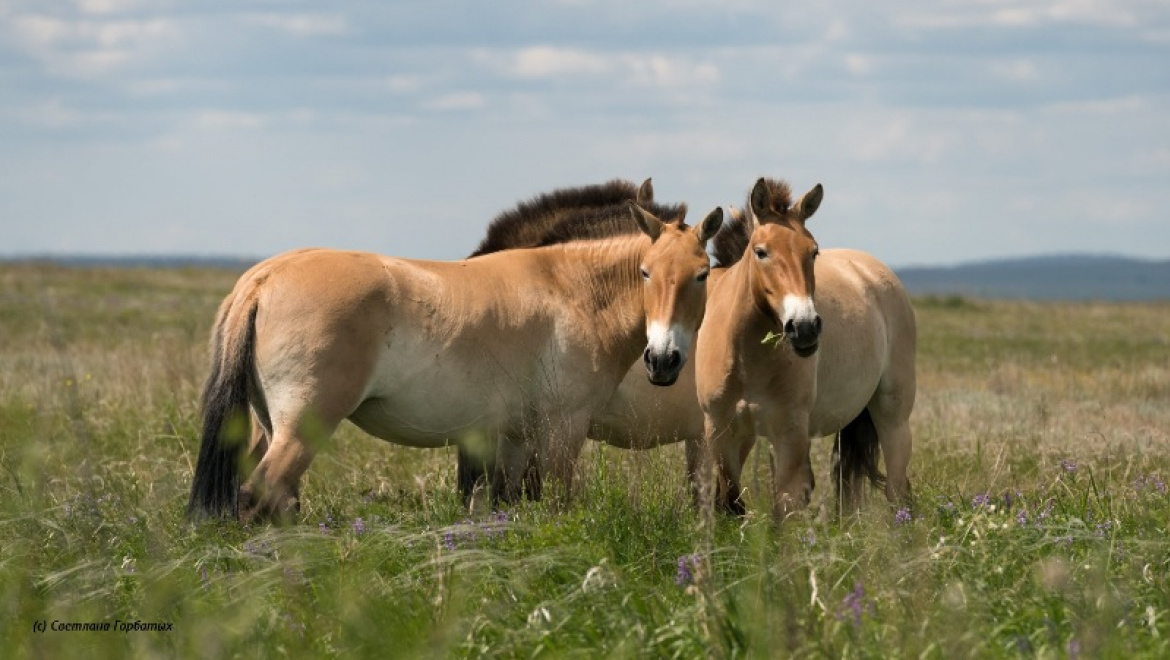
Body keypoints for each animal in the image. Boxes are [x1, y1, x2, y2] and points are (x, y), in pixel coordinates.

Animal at [188, 180, 720, 521]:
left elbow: (510, 506)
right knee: (259, 497)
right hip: (302, 427)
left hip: (267, 427)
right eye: (646, 272)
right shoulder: (563, 430)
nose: (664, 362)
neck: (573, 289)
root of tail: (264, 277)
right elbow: (557, 504)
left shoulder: (514, 437)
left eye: (702, 274)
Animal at [687, 177, 917, 517]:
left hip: (893, 418)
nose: (805, 327)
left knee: (898, 490)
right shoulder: (722, 431)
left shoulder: (790, 432)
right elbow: (730, 501)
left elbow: (784, 508)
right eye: (761, 252)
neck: (746, 358)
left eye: (813, 252)